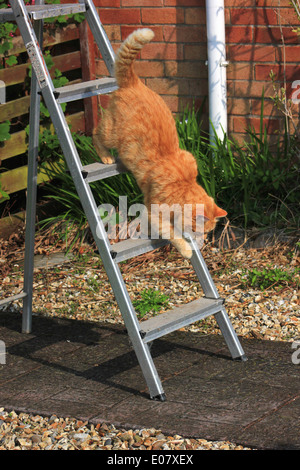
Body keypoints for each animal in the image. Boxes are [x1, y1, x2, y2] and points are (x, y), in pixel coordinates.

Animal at [92, 28, 226, 260]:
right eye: (201, 230)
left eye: (209, 232)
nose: (205, 239)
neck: (182, 185)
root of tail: (134, 82)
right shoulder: (155, 213)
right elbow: (172, 234)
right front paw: (187, 250)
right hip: (111, 133)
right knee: (95, 134)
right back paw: (106, 156)